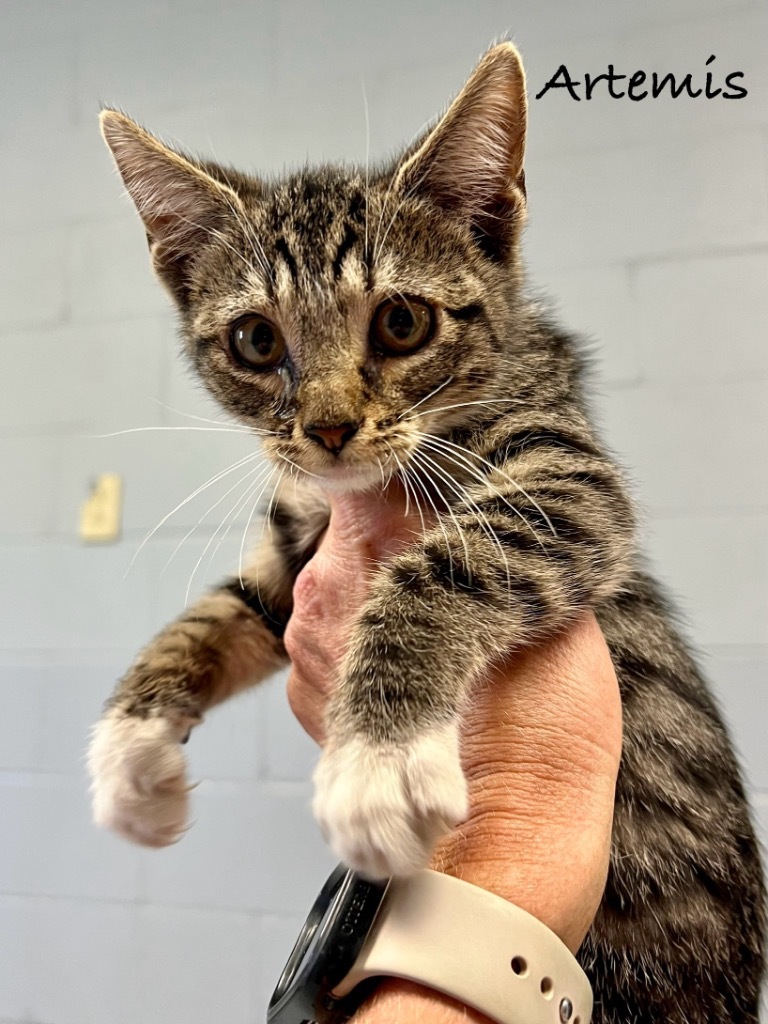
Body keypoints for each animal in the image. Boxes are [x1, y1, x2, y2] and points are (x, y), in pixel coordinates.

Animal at [88, 44, 765, 1019]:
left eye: (402, 322)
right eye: (256, 341)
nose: (329, 428)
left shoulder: (569, 478)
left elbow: (450, 566)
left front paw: (380, 757)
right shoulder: (292, 552)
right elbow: (219, 611)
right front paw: (130, 754)